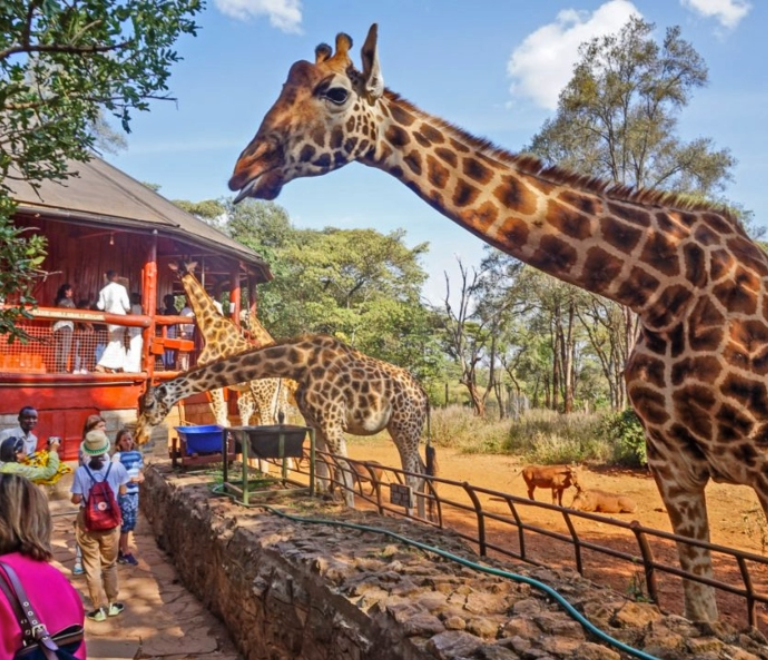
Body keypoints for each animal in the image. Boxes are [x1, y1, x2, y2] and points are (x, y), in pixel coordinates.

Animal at [136, 334, 429, 507]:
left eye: (148, 405)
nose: (138, 436)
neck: (299, 365)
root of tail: (424, 396)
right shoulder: (316, 420)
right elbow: (321, 465)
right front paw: (324, 496)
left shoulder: (331, 420)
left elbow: (345, 469)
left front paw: (348, 508)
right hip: (401, 427)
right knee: (422, 470)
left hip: (405, 424)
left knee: (413, 473)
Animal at [170, 260, 291, 429]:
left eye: (178, 270)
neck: (209, 328)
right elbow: (223, 416)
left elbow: (220, 417)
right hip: (272, 394)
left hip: (261, 392)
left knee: (268, 420)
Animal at [226, 24, 768, 622]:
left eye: (336, 92)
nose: (243, 168)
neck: (664, 288)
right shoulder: (672, 463)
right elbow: (702, 611)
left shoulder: (758, 460)